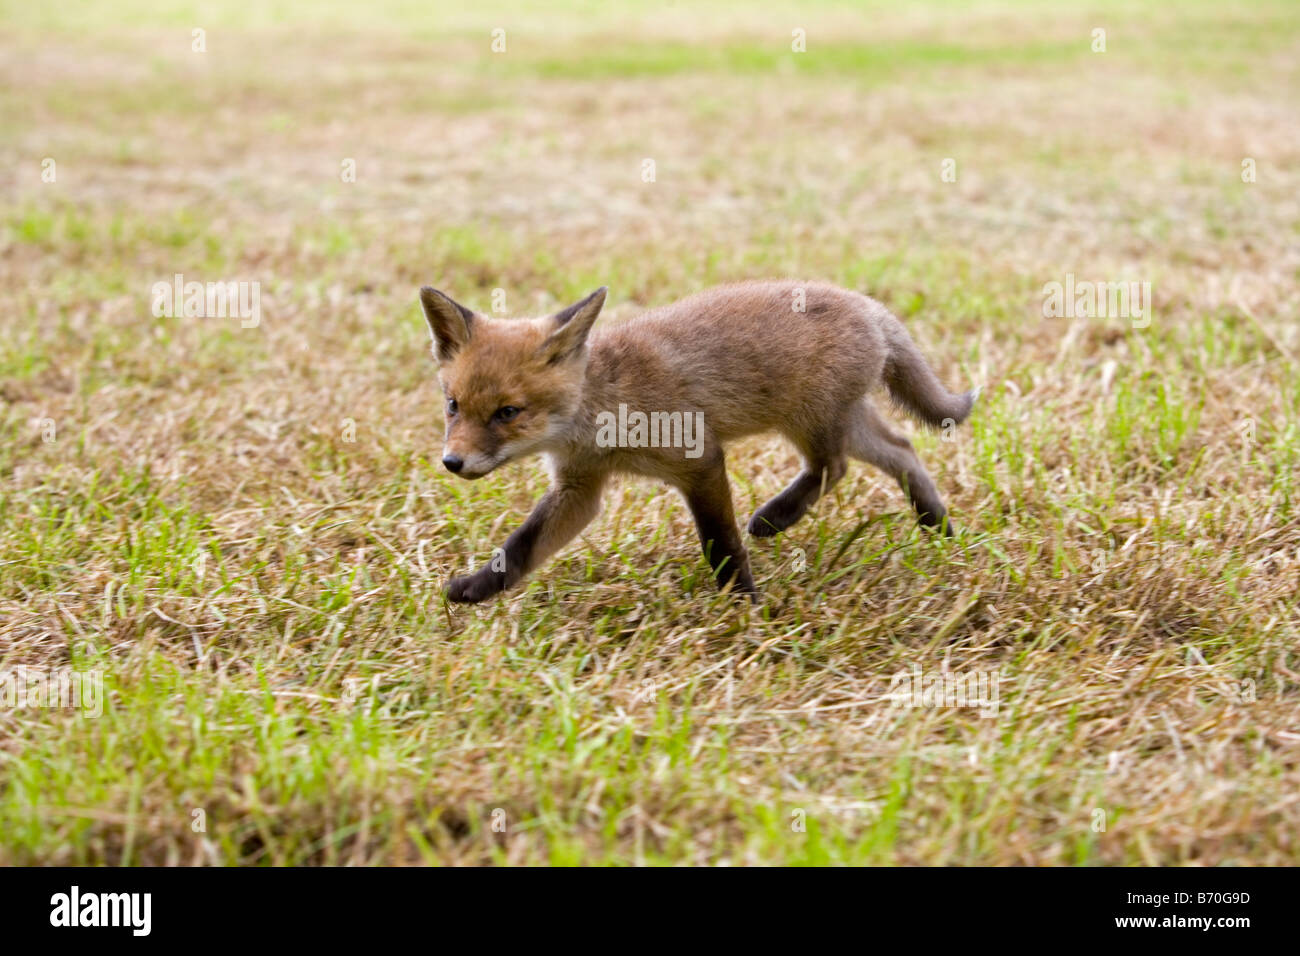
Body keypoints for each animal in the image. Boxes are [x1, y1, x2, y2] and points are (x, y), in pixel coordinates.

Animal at [420, 280, 978, 603]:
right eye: (453, 405)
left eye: (507, 412)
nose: (453, 462)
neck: (605, 409)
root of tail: (869, 305)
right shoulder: (579, 487)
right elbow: (521, 547)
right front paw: (473, 590)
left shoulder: (701, 461)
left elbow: (721, 542)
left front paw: (743, 605)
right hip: (842, 419)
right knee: (901, 450)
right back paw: (938, 527)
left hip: (814, 421)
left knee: (834, 466)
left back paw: (775, 517)